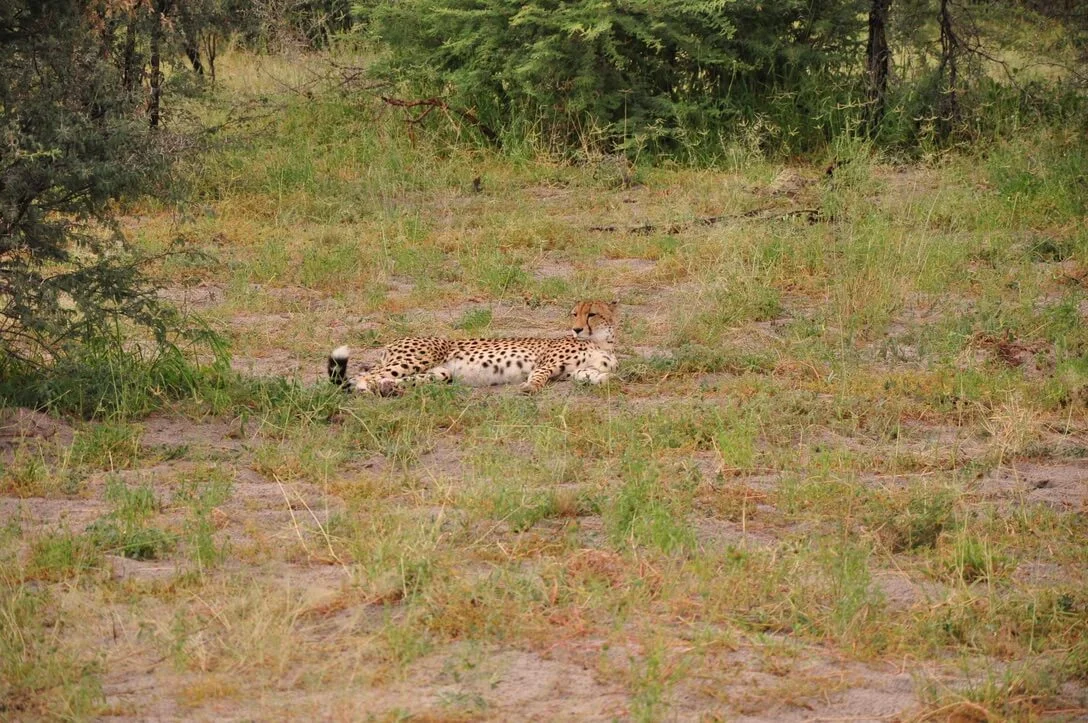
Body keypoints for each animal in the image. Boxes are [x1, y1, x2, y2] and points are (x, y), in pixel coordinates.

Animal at [328, 300, 618, 395]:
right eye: (574, 314)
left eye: (592, 314)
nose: (576, 329)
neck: (599, 341)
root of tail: (392, 343)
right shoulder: (546, 363)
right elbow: (538, 375)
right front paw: (530, 387)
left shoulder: (578, 371)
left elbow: (600, 376)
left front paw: (605, 380)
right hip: (415, 359)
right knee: (361, 377)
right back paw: (366, 389)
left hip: (440, 373)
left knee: (387, 379)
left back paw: (390, 389)